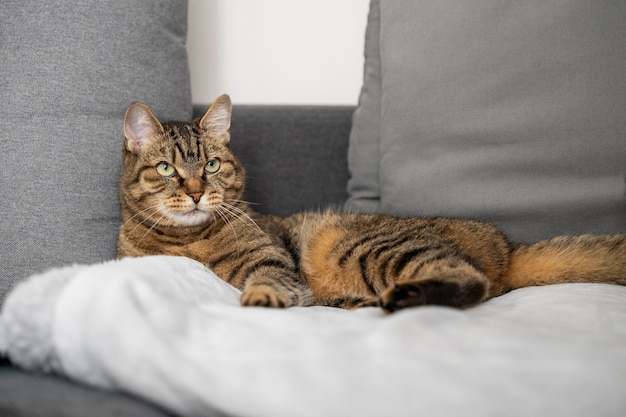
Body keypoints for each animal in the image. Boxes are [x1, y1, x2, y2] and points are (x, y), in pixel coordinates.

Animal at [118, 94, 624, 312]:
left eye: (213, 165)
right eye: (166, 169)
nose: (196, 191)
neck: (190, 241)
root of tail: (506, 245)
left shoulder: (271, 259)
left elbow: (269, 279)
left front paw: (261, 297)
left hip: (366, 246)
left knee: (471, 281)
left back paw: (405, 297)